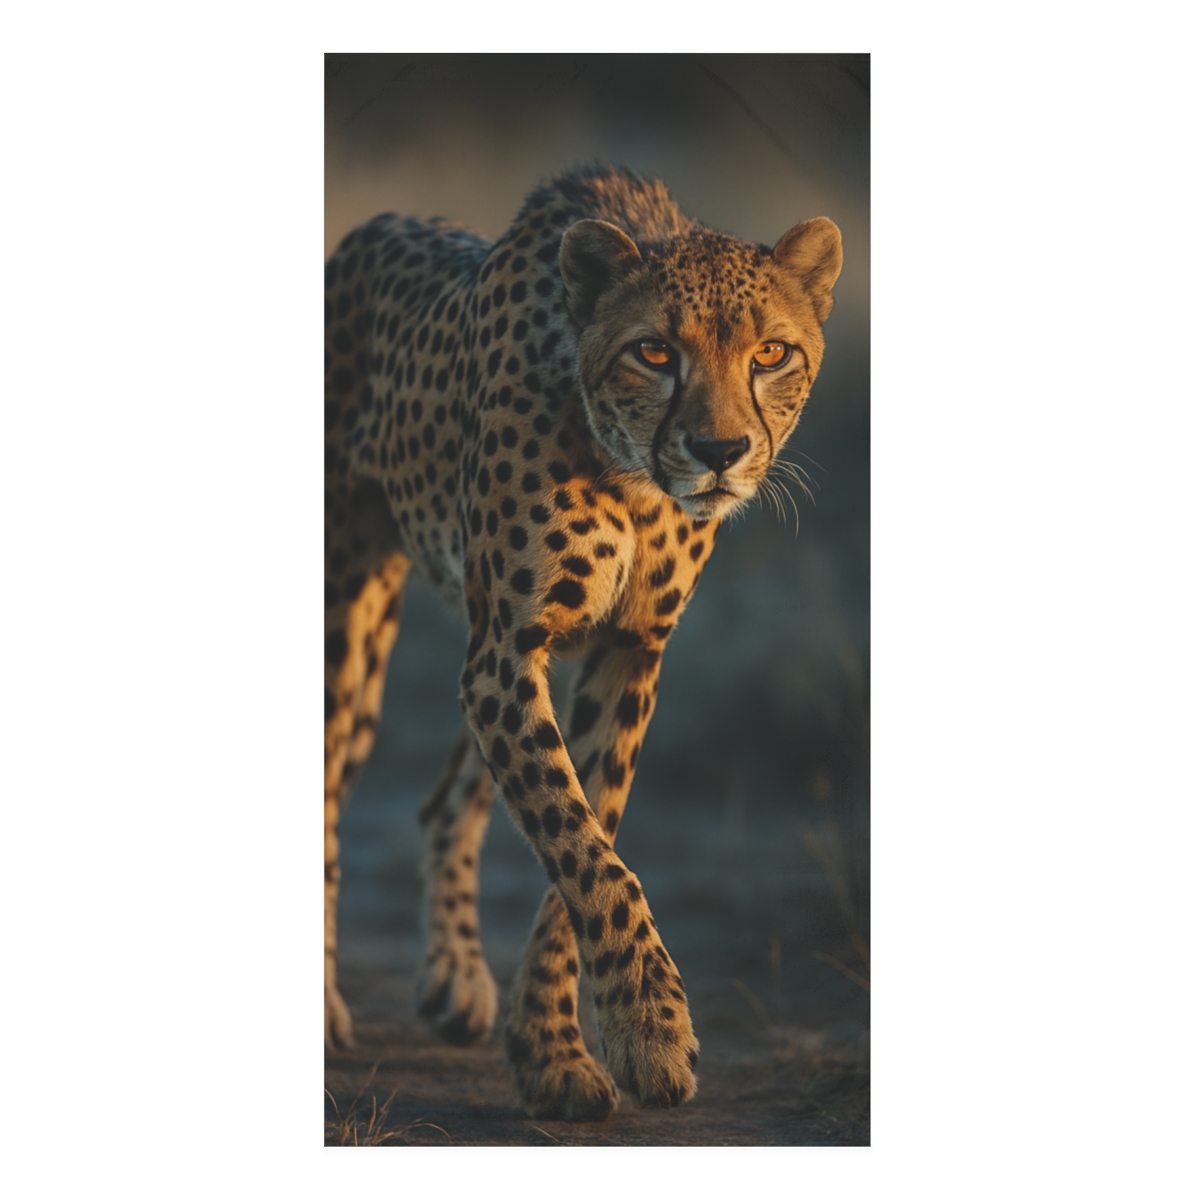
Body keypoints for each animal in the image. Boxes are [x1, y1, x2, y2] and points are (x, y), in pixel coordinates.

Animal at [324, 165, 842, 1121]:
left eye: (770, 354)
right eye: (655, 352)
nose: (719, 449)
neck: (630, 473)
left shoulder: (620, 651)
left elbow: (588, 828)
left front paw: (557, 1048)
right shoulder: (506, 651)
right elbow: (581, 842)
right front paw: (650, 1028)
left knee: (446, 798)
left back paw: (456, 977)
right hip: (350, 616)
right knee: (330, 788)